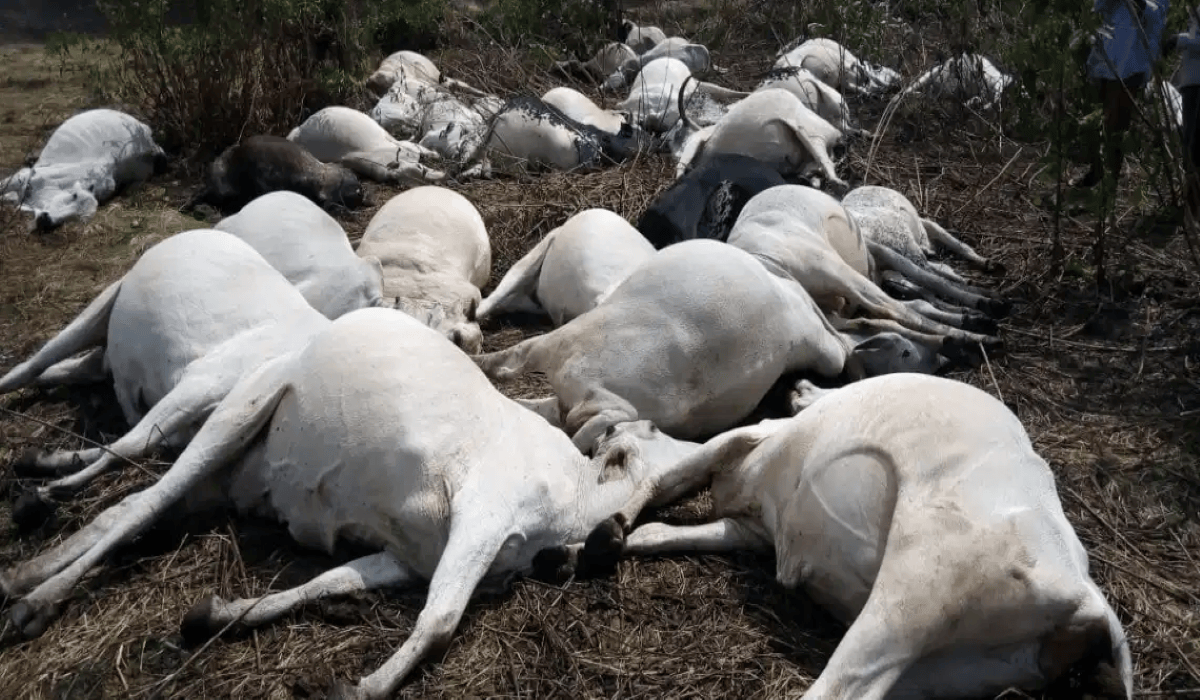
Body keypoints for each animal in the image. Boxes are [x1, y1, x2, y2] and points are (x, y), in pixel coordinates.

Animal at [0, 229, 331, 529]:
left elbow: (138, 444)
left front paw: (43, 474)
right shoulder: (200, 384)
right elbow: (129, 446)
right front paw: (45, 493)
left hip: (111, 354)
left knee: (75, 370)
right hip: (102, 306)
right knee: (32, 365)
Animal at [0, 307, 708, 700]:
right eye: (631, 450)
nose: (612, 535)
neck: (571, 495)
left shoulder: (408, 554)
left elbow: (326, 583)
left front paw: (218, 613)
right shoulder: (481, 515)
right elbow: (440, 619)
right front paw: (361, 687)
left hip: (224, 477)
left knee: (128, 507)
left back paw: (27, 570)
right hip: (236, 414)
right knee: (146, 501)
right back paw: (35, 599)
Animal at [569, 373, 1133, 700]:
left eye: (625, 438)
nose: (605, 434)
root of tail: (1087, 602)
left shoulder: (751, 436)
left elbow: (665, 480)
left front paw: (599, 538)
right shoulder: (752, 528)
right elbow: (662, 530)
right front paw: (588, 548)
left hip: (914, 596)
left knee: (834, 689)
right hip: (947, 672)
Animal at [841, 185, 1009, 318]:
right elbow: (954, 245)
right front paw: (986, 266)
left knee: (926, 284)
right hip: (904, 247)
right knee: (933, 280)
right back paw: (987, 302)